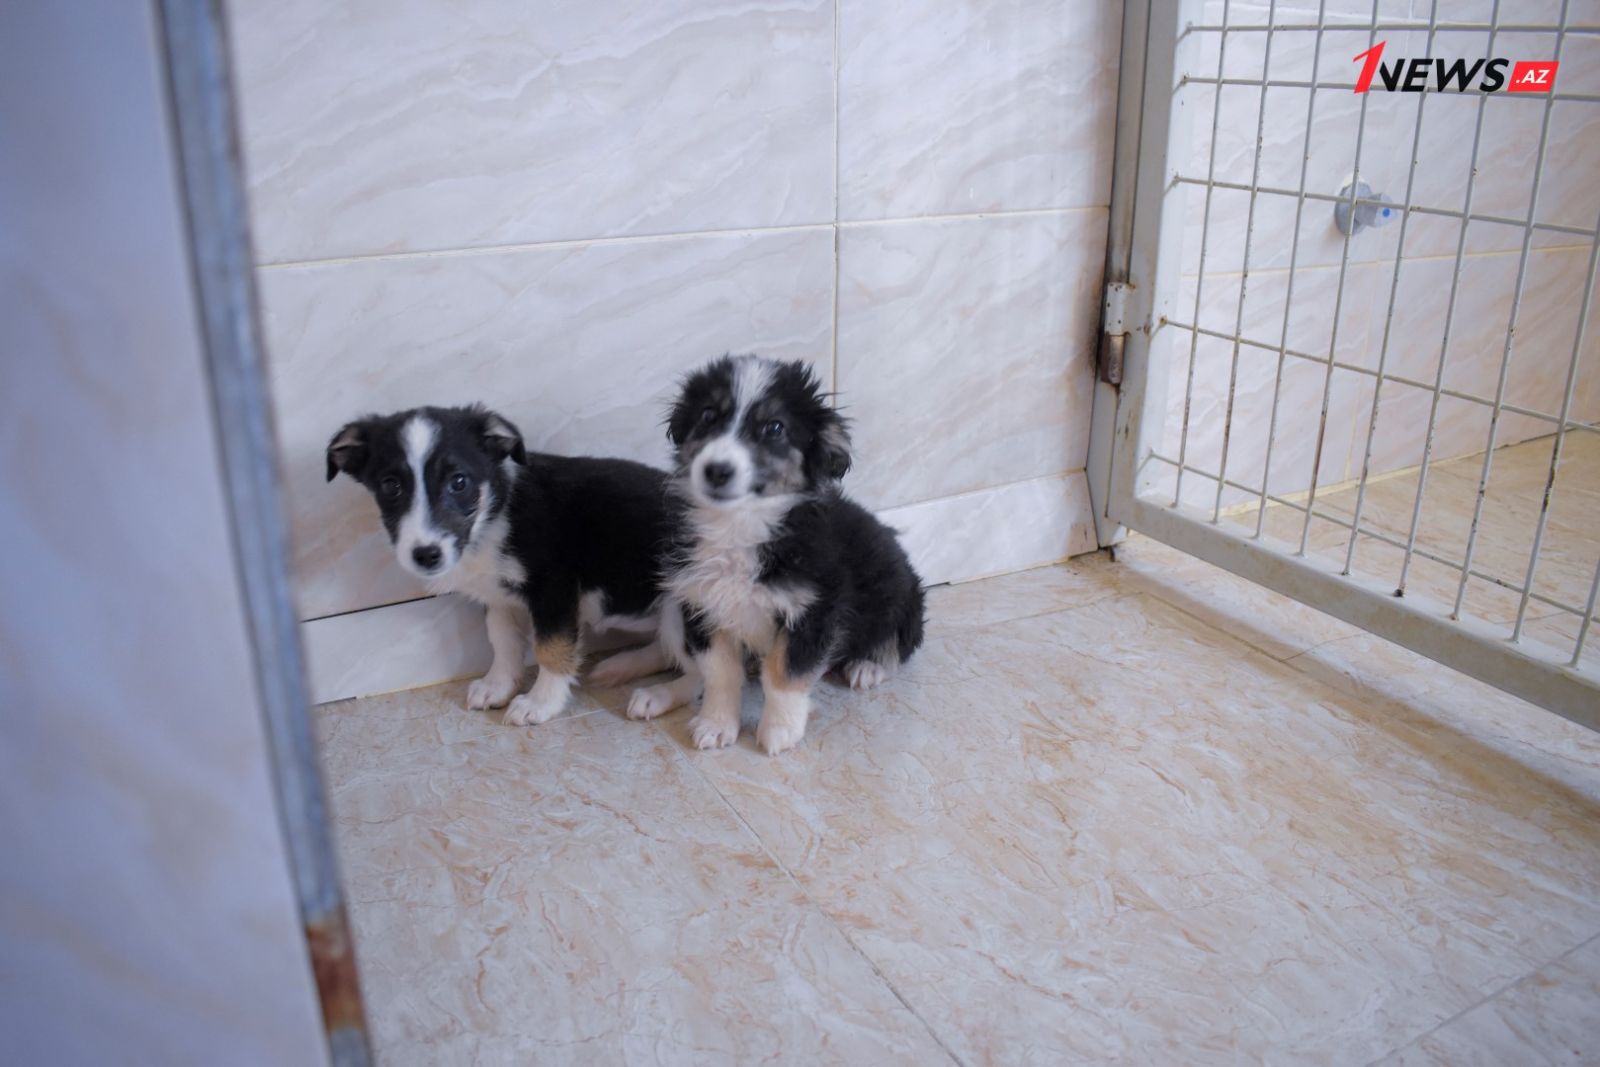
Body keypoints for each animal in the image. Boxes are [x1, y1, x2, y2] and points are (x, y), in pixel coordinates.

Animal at [326, 404, 681, 726]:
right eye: (391, 486)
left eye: (459, 482)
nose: (426, 554)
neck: (493, 518)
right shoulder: (496, 596)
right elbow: (502, 640)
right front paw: (497, 686)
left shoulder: (554, 590)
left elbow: (550, 648)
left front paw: (540, 704)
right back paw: (622, 666)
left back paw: (657, 696)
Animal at [626, 355, 925, 755]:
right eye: (708, 415)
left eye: (775, 427)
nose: (717, 471)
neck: (742, 524)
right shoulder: (702, 604)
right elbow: (719, 674)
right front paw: (716, 725)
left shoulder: (813, 611)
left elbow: (783, 677)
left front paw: (780, 731)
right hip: (674, 610)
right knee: (693, 674)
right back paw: (655, 696)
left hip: (901, 593)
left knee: (897, 642)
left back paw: (868, 666)